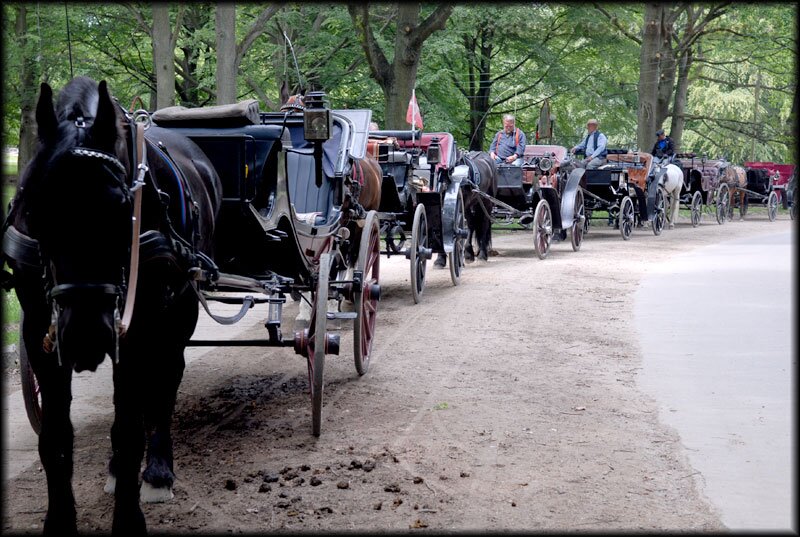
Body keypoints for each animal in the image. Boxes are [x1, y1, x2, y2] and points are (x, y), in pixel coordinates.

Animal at [3, 77, 222, 532]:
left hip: (179, 312)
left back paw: (156, 472)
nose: (86, 335)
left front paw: (129, 516)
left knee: (165, 383)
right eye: (36, 207)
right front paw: (60, 520)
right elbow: (55, 436)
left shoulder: (136, 330)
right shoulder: (39, 332)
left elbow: (128, 429)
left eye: (125, 211)